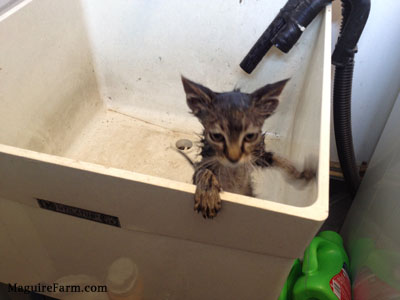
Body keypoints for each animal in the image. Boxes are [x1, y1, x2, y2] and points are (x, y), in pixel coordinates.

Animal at [181, 76, 316, 219]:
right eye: (217, 136)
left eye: (250, 136)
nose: (233, 158)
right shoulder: (205, 160)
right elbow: (204, 171)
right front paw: (208, 194)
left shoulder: (258, 155)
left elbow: (279, 159)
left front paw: (301, 173)